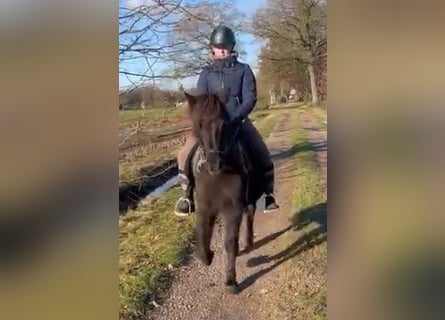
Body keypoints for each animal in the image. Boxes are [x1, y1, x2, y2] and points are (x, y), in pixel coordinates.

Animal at [182, 91, 262, 294]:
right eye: (199, 124)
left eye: (225, 124)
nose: (214, 164)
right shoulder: (205, 207)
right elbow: (202, 235)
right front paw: (207, 256)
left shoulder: (233, 209)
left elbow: (230, 243)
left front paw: (231, 281)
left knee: (250, 215)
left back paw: (248, 242)